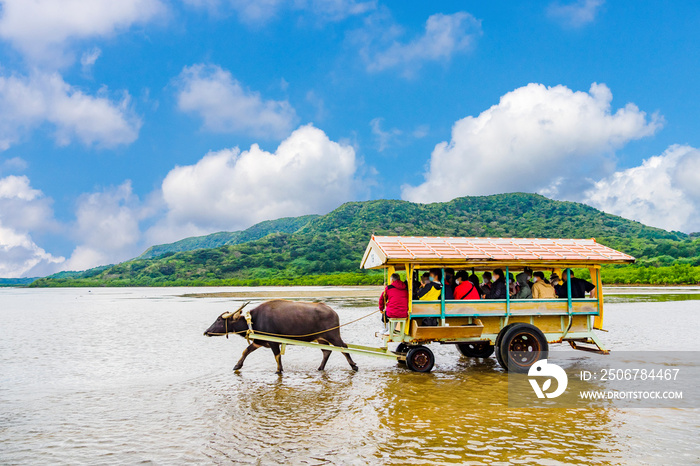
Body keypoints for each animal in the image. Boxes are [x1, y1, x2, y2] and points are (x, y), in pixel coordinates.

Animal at [201, 300, 356, 374]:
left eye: (219, 320)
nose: (206, 331)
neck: (254, 321)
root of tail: (332, 311)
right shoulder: (259, 341)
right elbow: (246, 351)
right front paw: (237, 365)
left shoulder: (274, 342)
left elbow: (277, 356)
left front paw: (278, 370)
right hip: (321, 338)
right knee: (326, 351)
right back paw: (320, 368)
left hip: (333, 335)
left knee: (344, 347)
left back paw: (354, 366)